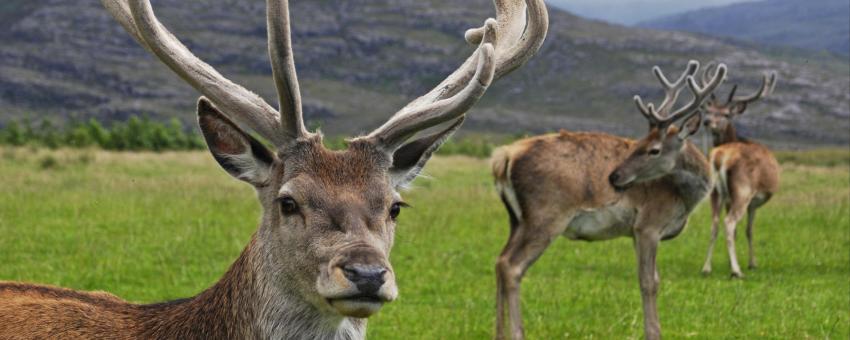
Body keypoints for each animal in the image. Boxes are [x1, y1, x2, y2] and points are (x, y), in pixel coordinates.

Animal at [490, 59, 724, 338]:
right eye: (638, 144)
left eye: (653, 149)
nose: (614, 177)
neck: (683, 199)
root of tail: (503, 157)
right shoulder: (648, 224)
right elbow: (648, 282)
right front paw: (653, 332)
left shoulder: (635, 232)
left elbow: (654, 278)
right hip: (546, 215)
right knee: (512, 266)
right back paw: (517, 333)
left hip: (516, 219)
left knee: (499, 260)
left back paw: (499, 333)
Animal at [700, 67, 780, 278]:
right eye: (709, 111)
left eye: (726, 114)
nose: (707, 121)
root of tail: (720, 156)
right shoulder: (753, 202)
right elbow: (749, 230)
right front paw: (751, 263)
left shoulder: (729, 198)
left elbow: (739, 231)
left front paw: (730, 262)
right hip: (742, 190)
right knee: (729, 223)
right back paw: (737, 271)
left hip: (715, 192)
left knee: (714, 223)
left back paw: (706, 268)